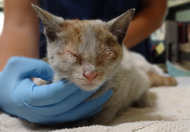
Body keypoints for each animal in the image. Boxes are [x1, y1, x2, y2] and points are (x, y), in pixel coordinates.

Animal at [32, 3, 177, 124]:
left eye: (105, 55)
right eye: (73, 55)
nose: (90, 74)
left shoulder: (122, 88)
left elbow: (104, 116)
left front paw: (89, 122)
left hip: (138, 80)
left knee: (145, 85)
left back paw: (144, 100)